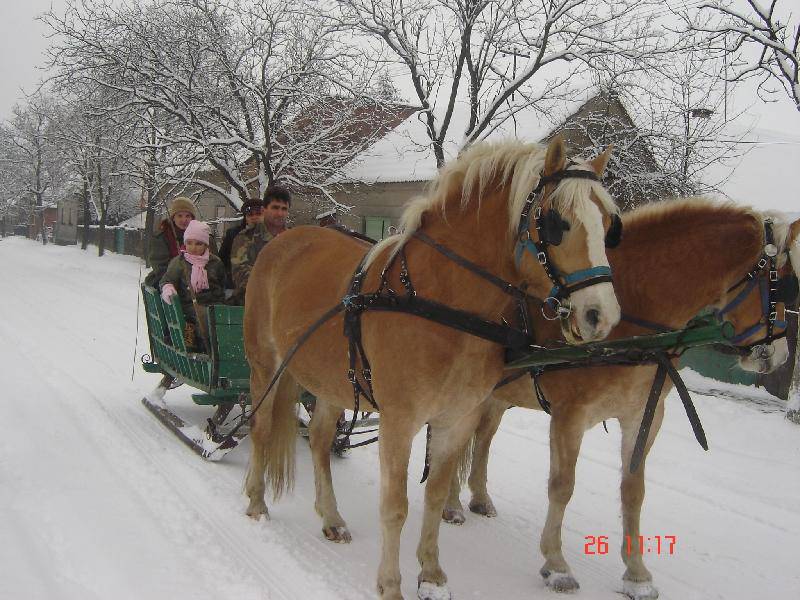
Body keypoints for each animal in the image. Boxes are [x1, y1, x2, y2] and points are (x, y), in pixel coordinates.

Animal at [242, 137, 620, 600]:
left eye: (609, 225)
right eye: (556, 223)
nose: (600, 316)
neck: (441, 303)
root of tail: (285, 239)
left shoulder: (457, 419)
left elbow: (437, 495)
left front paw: (433, 574)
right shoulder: (399, 421)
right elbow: (395, 506)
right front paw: (390, 584)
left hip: (331, 382)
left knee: (318, 441)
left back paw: (331, 518)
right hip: (266, 365)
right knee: (260, 427)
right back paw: (256, 502)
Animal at [444, 202, 800, 600]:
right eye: (785, 285)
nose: (780, 356)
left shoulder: (644, 415)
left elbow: (634, 492)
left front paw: (637, 574)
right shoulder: (569, 417)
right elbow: (562, 486)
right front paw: (556, 564)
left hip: (495, 397)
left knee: (481, 440)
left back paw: (477, 497)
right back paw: (451, 505)